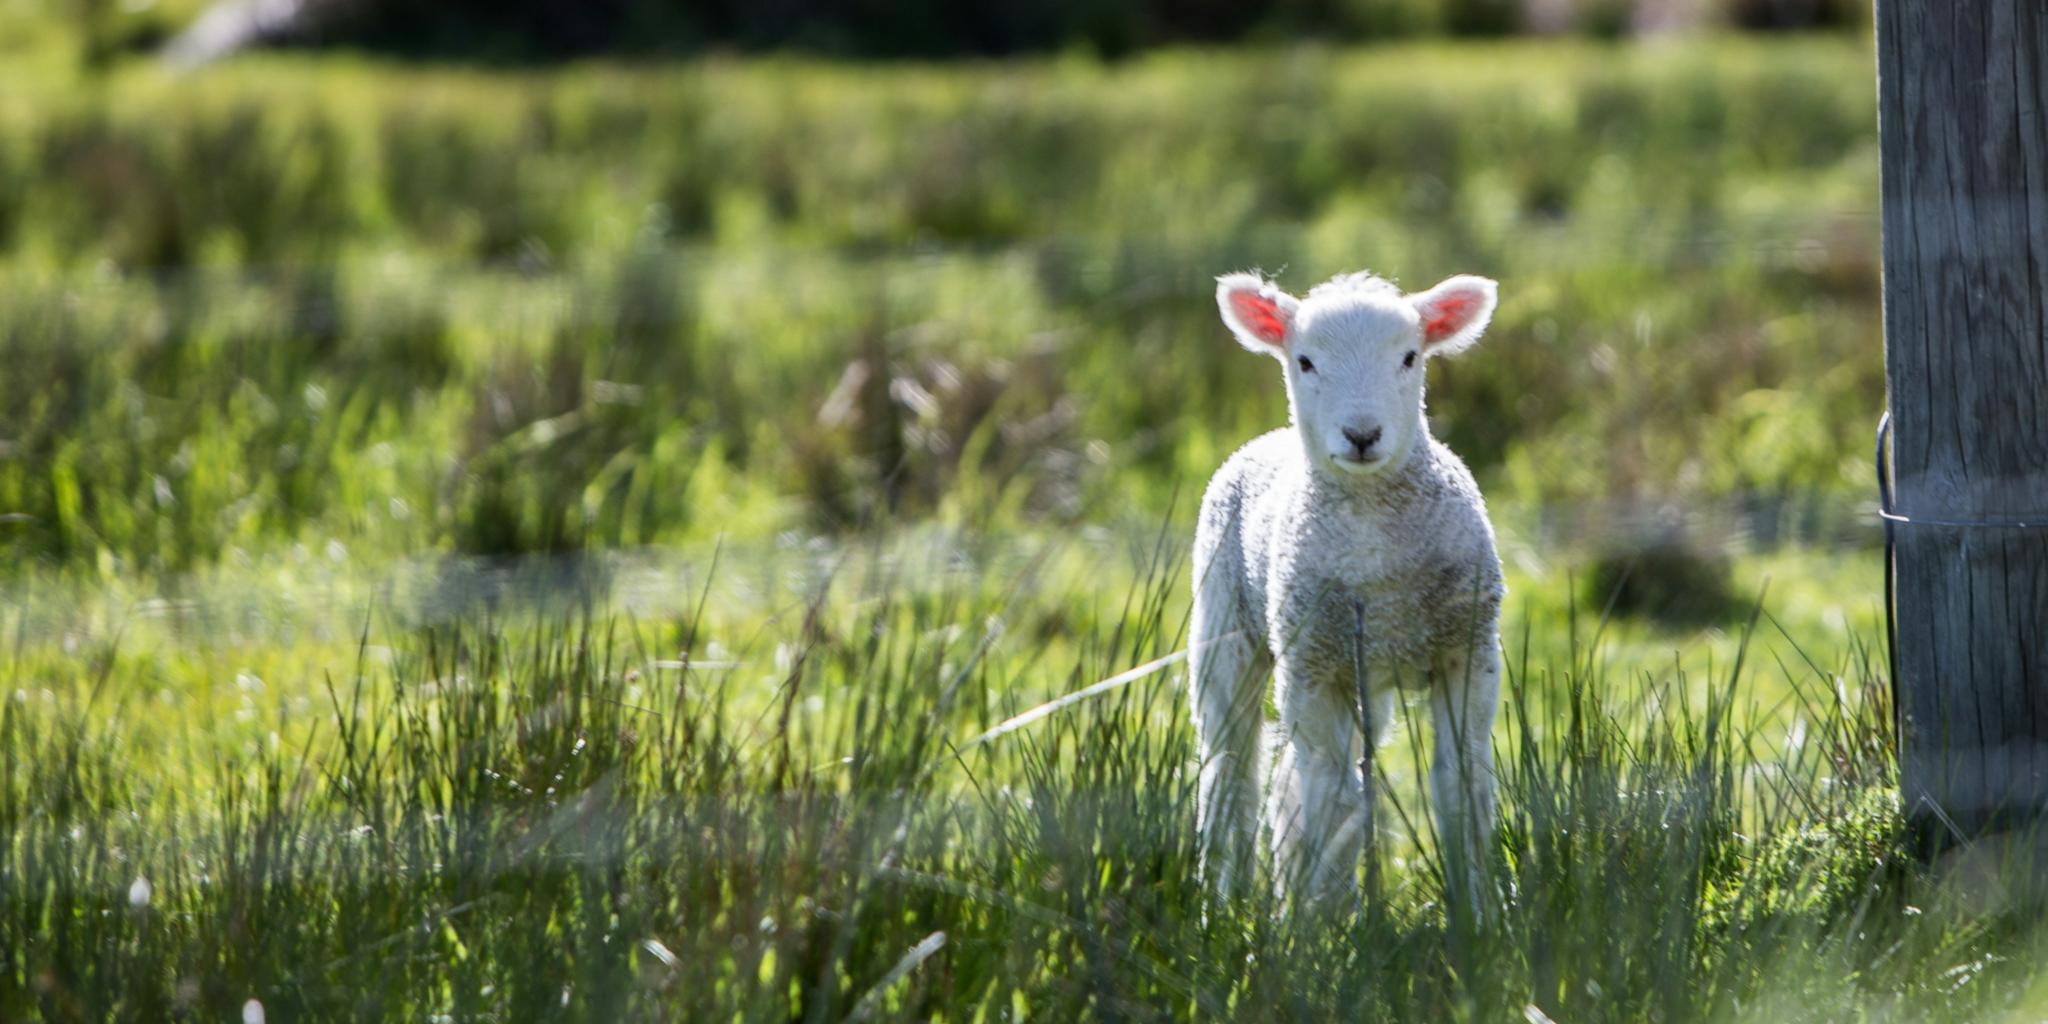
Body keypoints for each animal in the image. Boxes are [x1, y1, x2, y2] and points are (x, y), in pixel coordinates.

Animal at [1187, 268, 1507, 909]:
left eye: (1410, 357)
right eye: (1305, 361)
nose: (1362, 435)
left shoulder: (1468, 651)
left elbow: (1461, 784)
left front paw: (1477, 911)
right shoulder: (1313, 668)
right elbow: (1332, 800)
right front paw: (1328, 921)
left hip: (1364, 674)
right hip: (1225, 628)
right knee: (1231, 769)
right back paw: (1224, 899)